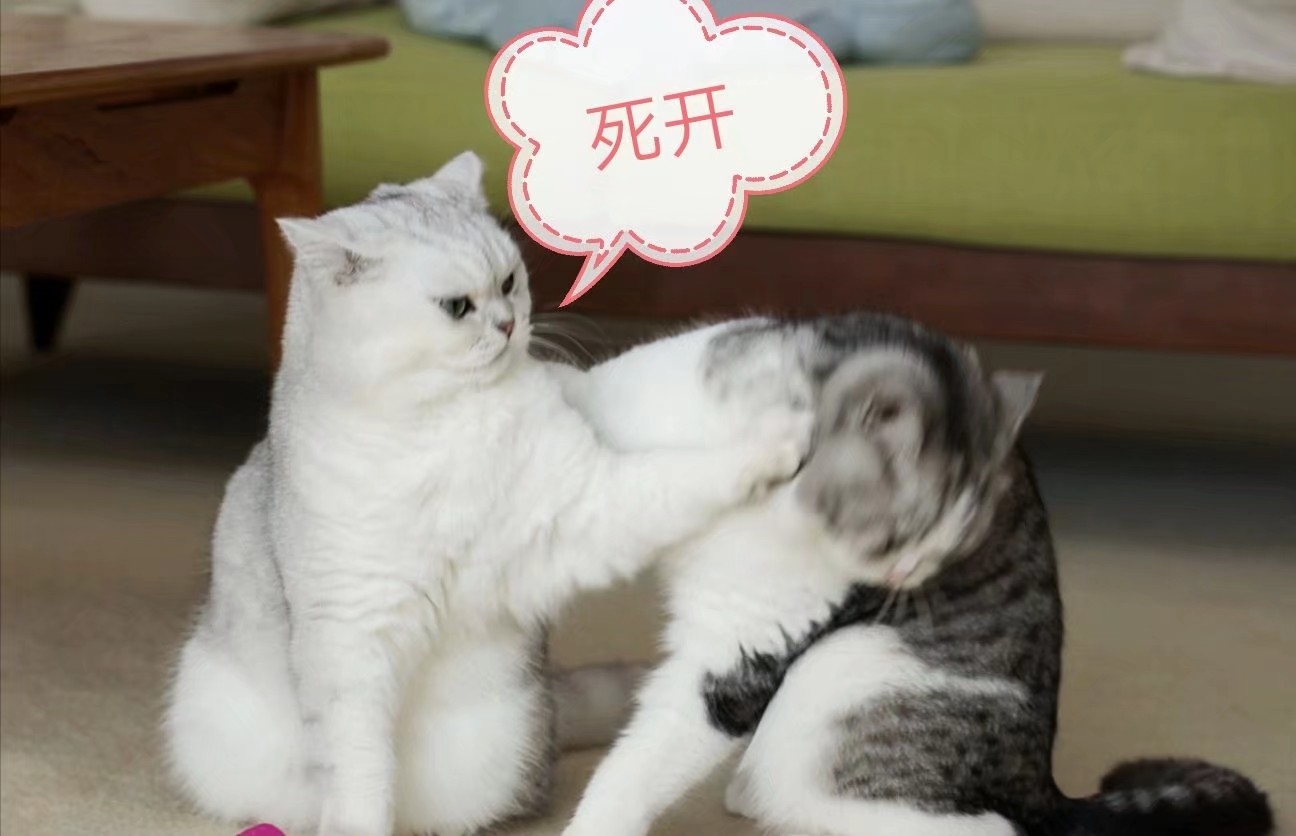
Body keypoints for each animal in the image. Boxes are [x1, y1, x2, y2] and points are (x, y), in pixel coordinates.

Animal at [162, 153, 811, 836]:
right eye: (457, 306)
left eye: (509, 282)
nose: (509, 324)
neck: (441, 421)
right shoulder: (350, 636)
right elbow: (359, 773)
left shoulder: (583, 503)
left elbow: (682, 475)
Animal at [557, 314, 1273, 836]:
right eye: (891, 542)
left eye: (942, 552)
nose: (906, 577)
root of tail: (1042, 788)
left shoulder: (738, 653)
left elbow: (636, 767)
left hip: (834, 686)